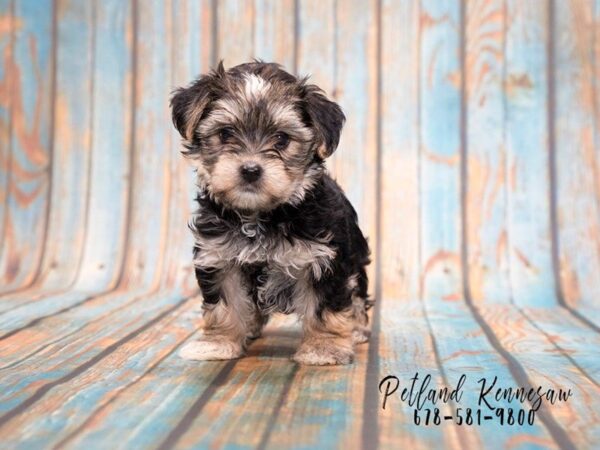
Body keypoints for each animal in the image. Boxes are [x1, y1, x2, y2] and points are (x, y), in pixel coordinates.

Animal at [171, 60, 372, 366]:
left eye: (281, 139)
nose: (251, 170)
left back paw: (357, 329)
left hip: (356, 259)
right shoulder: (219, 257)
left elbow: (325, 308)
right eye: (225, 134)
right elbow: (224, 306)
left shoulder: (324, 260)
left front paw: (324, 349)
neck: (259, 216)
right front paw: (217, 343)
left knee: (357, 293)